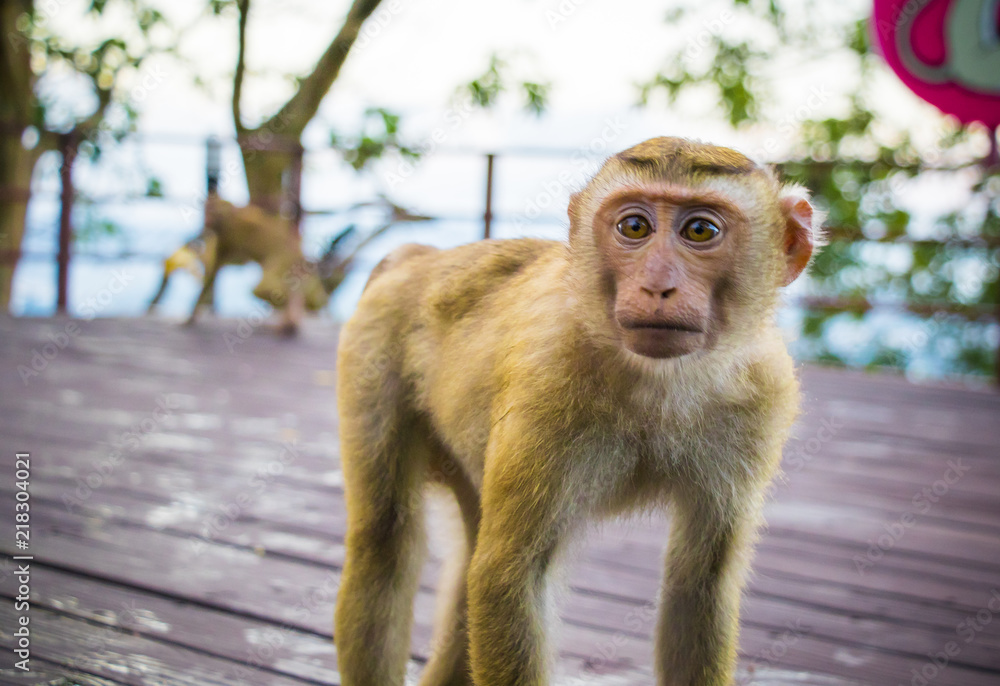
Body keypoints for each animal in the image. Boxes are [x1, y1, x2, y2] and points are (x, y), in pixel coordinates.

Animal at [333, 137, 820, 686]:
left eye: (700, 231)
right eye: (634, 227)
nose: (657, 286)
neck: (660, 382)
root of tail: (421, 257)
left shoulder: (762, 396)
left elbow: (700, 585)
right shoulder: (546, 378)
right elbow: (509, 577)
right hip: (372, 348)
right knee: (385, 540)